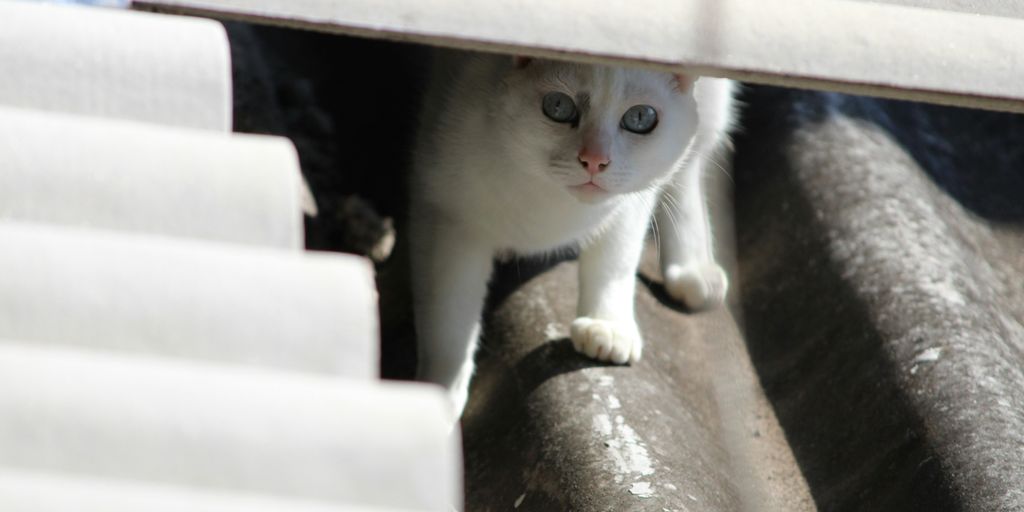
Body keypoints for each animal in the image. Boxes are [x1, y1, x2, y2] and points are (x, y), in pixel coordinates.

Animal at [403, 51, 733, 417]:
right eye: (558, 106)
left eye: (640, 117)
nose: (595, 160)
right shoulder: (445, 218)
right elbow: (449, 325)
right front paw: (438, 399)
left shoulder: (629, 204)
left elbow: (614, 262)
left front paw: (605, 324)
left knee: (692, 164)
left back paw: (693, 271)